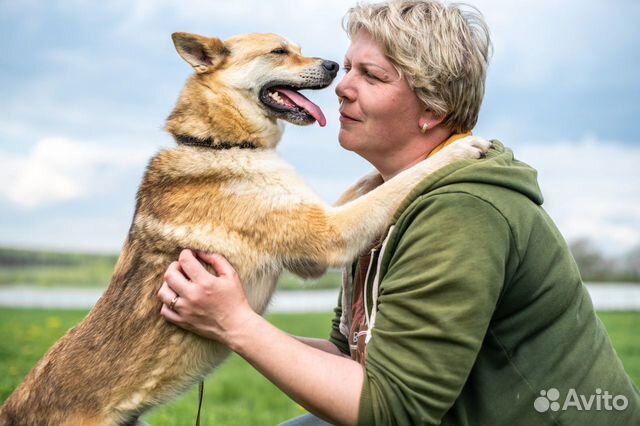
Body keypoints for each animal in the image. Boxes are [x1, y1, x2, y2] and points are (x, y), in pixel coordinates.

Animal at [0, 31, 490, 424]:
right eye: (278, 52)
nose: (335, 65)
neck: (221, 143)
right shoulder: (326, 238)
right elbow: (397, 184)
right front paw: (456, 149)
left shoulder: (317, 224)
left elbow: (371, 182)